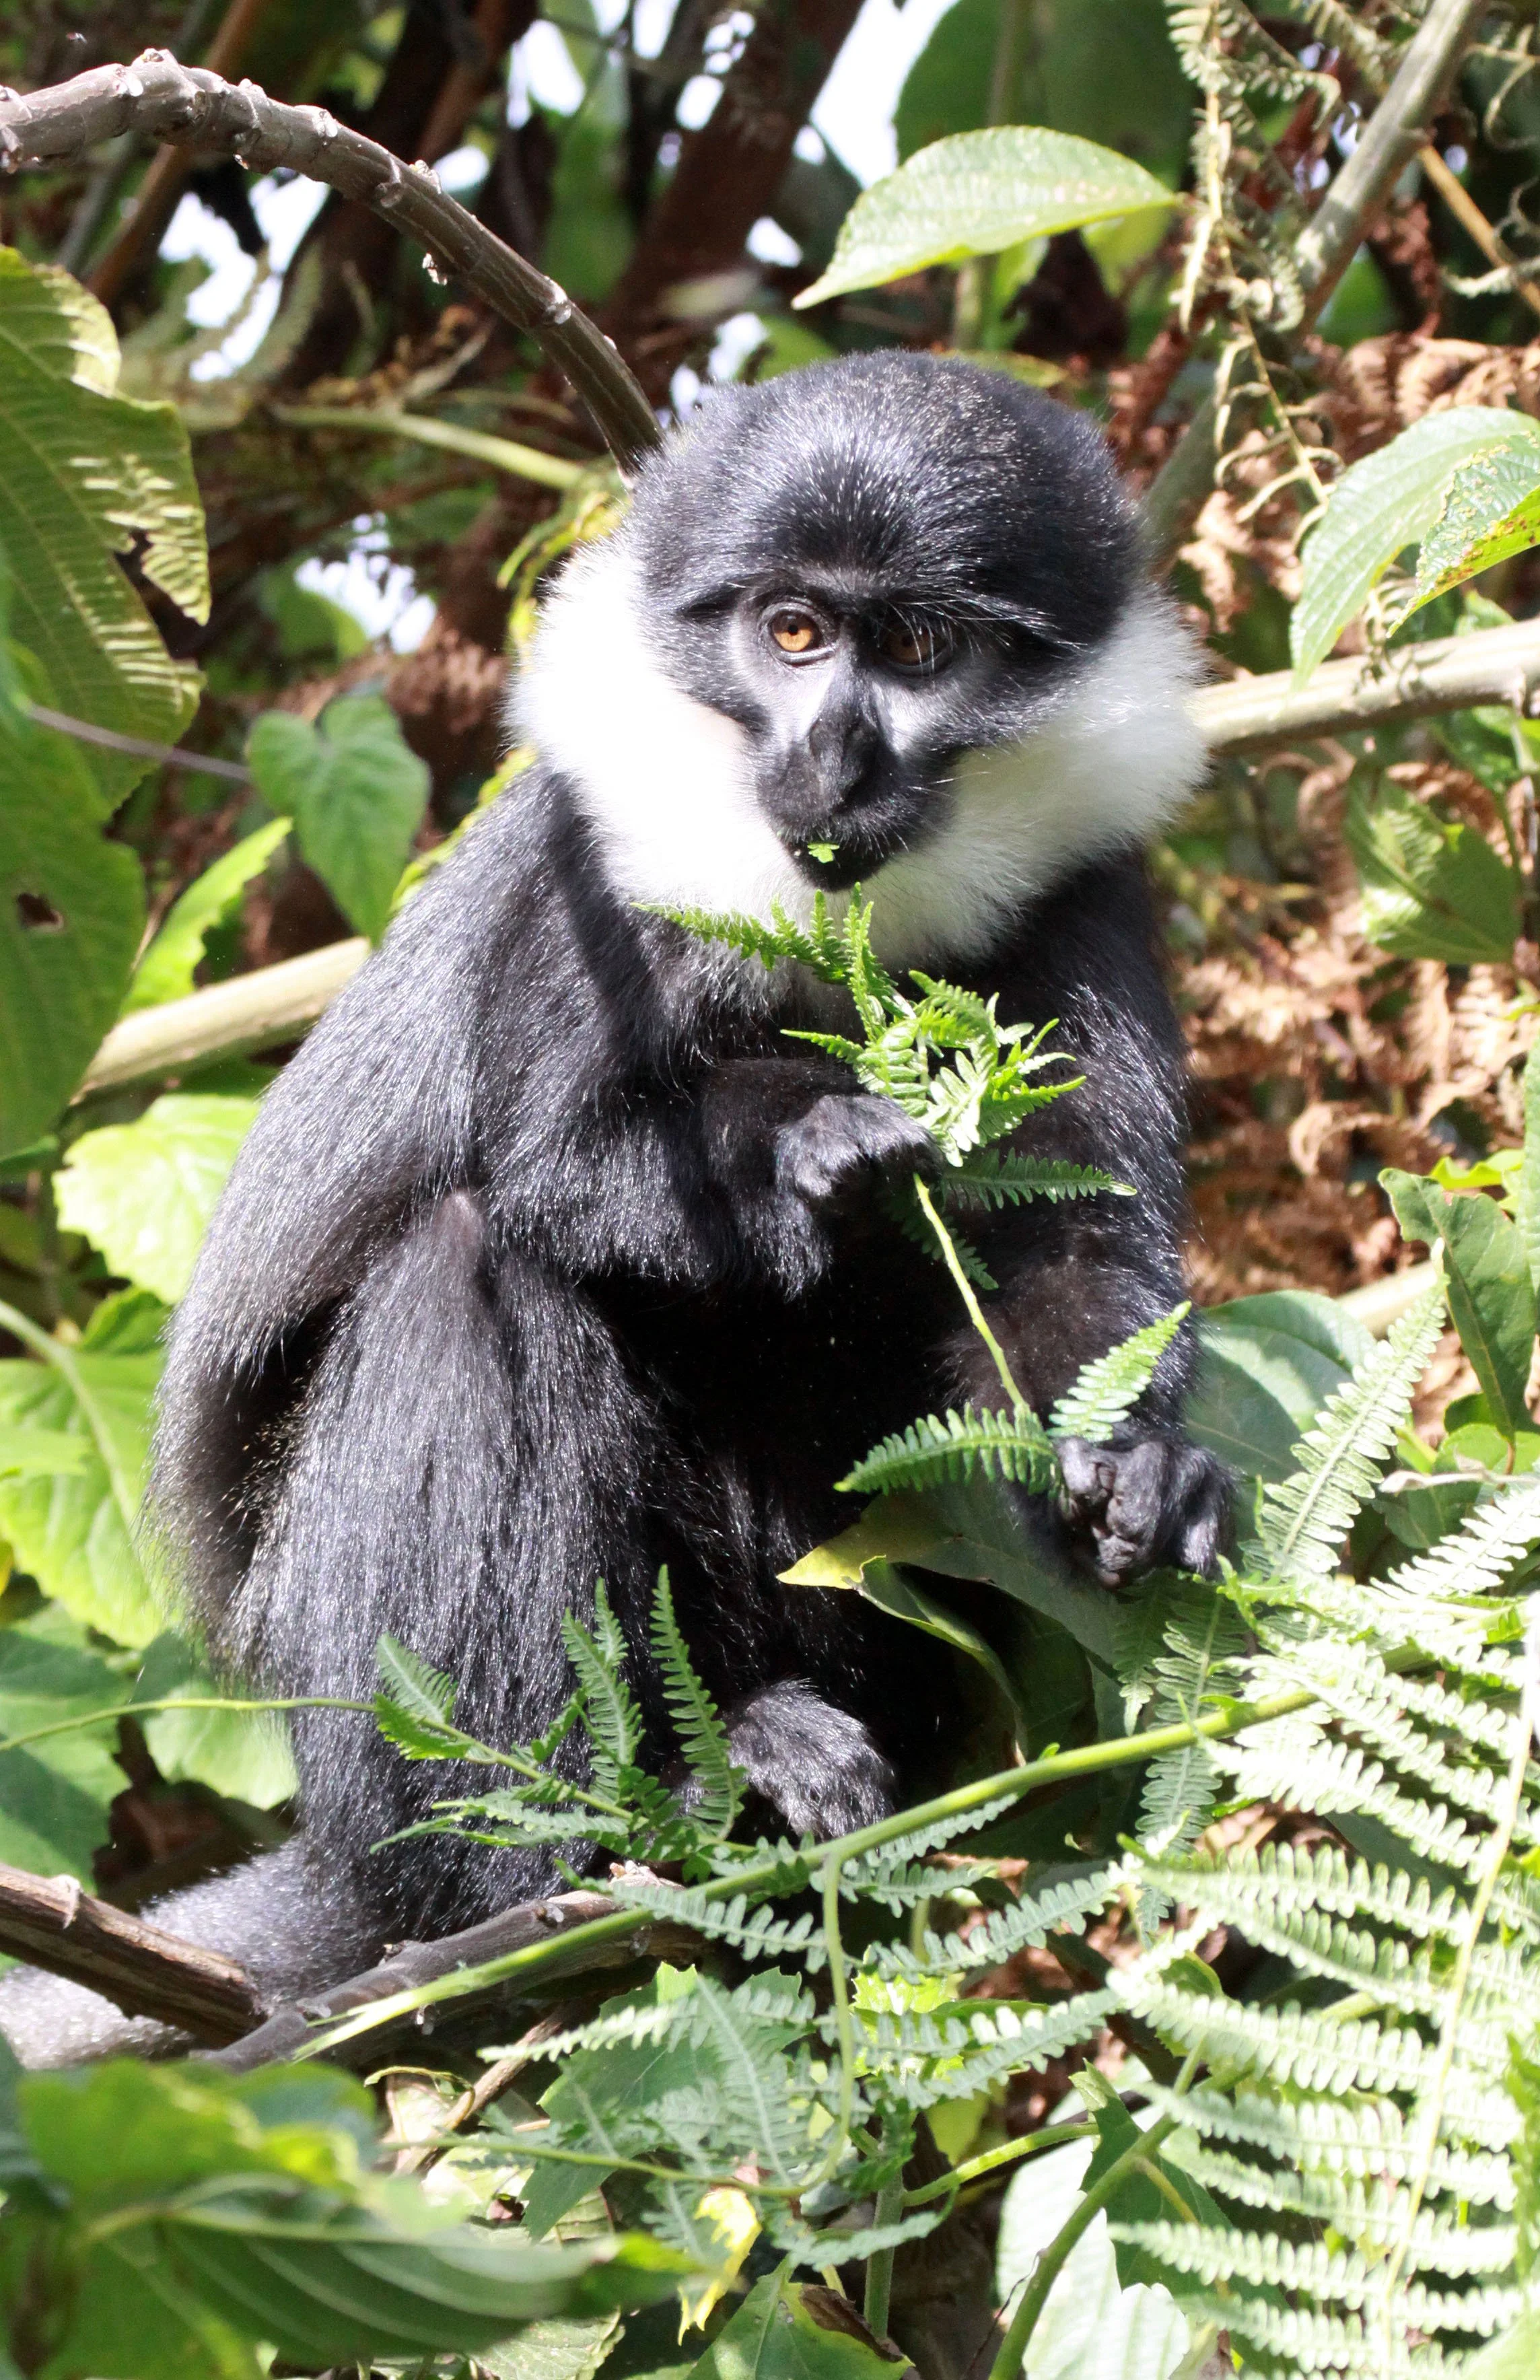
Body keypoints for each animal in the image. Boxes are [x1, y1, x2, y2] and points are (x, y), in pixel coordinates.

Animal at [0, 351, 1226, 2065]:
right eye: (792, 633)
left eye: (916, 648)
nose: (837, 756)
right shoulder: (584, 868)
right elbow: (556, 1168)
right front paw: (803, 1147)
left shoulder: (1089, 894)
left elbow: (1073, 1253)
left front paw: (1137, 1466)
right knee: (468, 1269)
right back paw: (616, 1816)